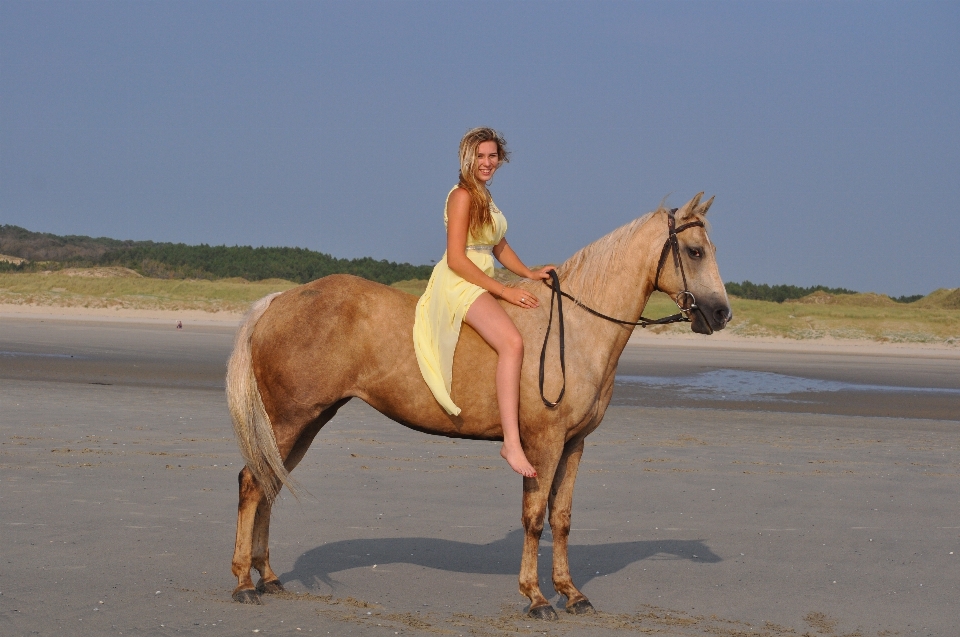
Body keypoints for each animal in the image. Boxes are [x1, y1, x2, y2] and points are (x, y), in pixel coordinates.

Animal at [229, 193, 732, 616]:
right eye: (694, 251)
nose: (721, 313)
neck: (573, 327)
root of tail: (279, 300)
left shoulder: (574, 445)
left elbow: (562, 518)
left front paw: (571, 593)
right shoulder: (543, 444)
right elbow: (534, 518)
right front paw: (536, 598)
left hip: (307, 422)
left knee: (270, 483)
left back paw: (268, 576)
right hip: (289, 420)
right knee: (253, 484)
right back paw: (244, 583)